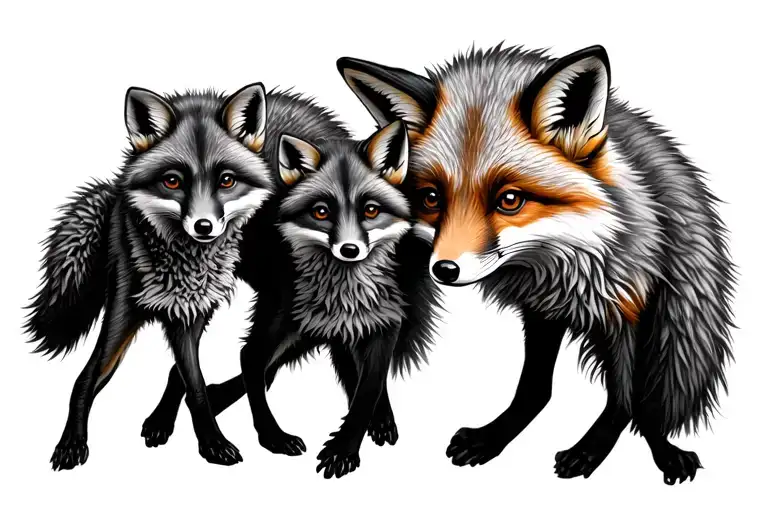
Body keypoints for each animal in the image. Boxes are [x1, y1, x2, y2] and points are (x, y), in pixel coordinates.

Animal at [24, 83, 349, 470]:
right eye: (172, 181)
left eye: (226, 180)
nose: (203, 227)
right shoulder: (140, 305)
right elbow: (93, 378)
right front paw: (73, 442)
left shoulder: (189, 311)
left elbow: (195, 387)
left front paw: (212, 441)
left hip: (272, 306)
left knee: (242, 365)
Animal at [141, 120, 441, 479]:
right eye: (321, 212)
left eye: (370, 210)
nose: (350, 250)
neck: (344, 292)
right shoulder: (285, 320)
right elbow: (251, 364)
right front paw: (274, 437)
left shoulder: (382, 324)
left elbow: (367, 389)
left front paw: (347, 445)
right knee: (202, 365)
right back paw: (170, 418)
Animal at [336, 44, 736, 485]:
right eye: (431, 199)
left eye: (509, 200)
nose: (444, 270)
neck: (558, 258)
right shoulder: (542, 308)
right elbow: (535, 389)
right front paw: (492, 439)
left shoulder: (627, 303)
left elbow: (625, 403)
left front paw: (591, 451)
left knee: (649, 399)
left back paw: (664, 449)